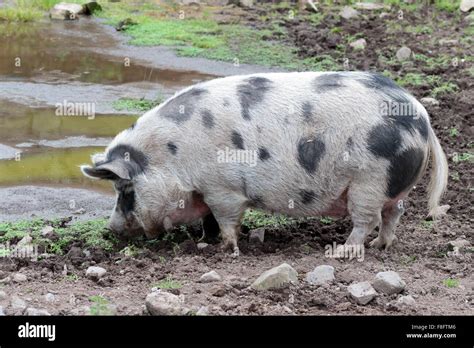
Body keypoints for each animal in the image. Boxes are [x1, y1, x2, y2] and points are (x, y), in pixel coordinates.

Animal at [81, 71, 448, 256]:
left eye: (125, 188)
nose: (112, 229)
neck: (171, 156)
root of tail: (421, 115)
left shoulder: (223, 187)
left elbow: (226, 218)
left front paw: (226, 248)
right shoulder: (207, 191)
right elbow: (209, 219)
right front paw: (204, 242)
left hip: (368, 180)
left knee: (367, 219)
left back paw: (343, 251)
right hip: (390, 187)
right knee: (393, 214)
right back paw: (380, 246)